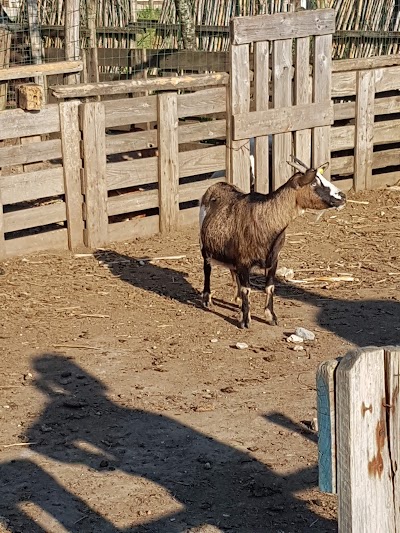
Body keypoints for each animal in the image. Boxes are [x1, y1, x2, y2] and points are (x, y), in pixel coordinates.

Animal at [200, 164, 346, 326]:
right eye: (314, 183)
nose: (342, 197)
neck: (266, 218)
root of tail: (218, 184)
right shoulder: (244, 261)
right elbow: (247, 289)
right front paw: (245, 320)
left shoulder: (273, 259)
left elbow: (270, 287)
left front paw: (271, 316)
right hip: (205, 246)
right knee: (207, 268)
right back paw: (207, 299)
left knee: (233, 271)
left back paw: (237, 299)